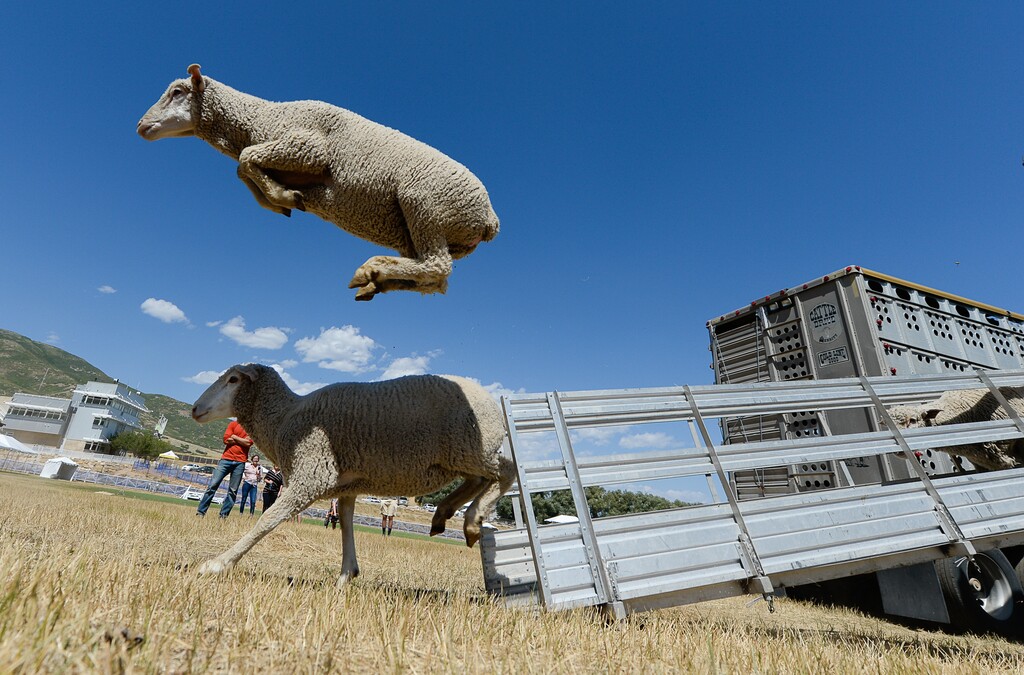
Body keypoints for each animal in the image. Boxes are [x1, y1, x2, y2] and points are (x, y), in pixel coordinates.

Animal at [138, 64, 499, 301]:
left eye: (177, 92)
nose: (141, 126)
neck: (260, 118)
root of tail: (489, 219)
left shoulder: (308, 149)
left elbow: (245, 159)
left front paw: (283, 197)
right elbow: (244, 168)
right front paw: (280, 200)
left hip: (425, 208)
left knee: (437, 268)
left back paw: (372, 270)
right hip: (417, 231)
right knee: (432, 279)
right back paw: (376, 280)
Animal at [190, 363, 516, 587]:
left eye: (233, 379)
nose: (194, 409)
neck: (283, 418)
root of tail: (491, 401)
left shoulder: (311, 474)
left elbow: (267, 520)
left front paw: (217, 564)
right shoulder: (345, 486)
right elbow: (346, 525)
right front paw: (347, 575)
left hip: (470, 448)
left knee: (506, 471)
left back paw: (472, 520)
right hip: (460, 457)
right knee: (479, 480)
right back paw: (445, 514)